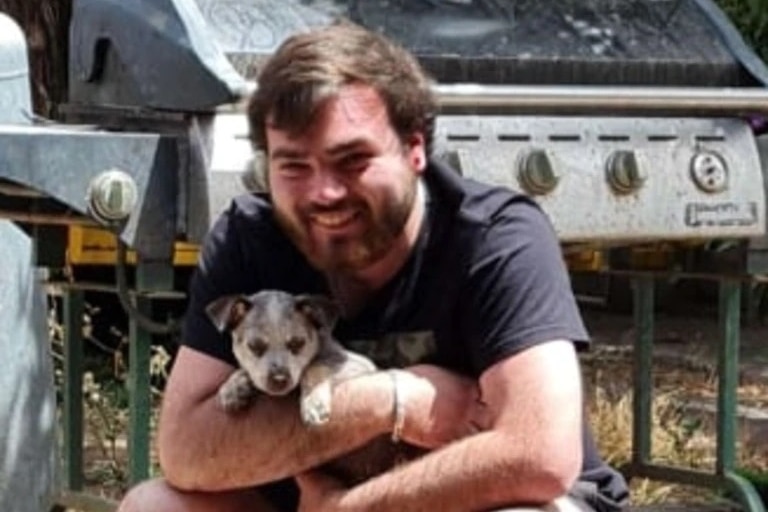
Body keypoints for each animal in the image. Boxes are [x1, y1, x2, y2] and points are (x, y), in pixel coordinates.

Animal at [202, 290, 374, 426]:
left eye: (297, 343)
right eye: (255, 346)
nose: (279, 379)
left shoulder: (359, 363)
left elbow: (314, 367)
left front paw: (313, 403)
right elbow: (242, 370)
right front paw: (233, 387)